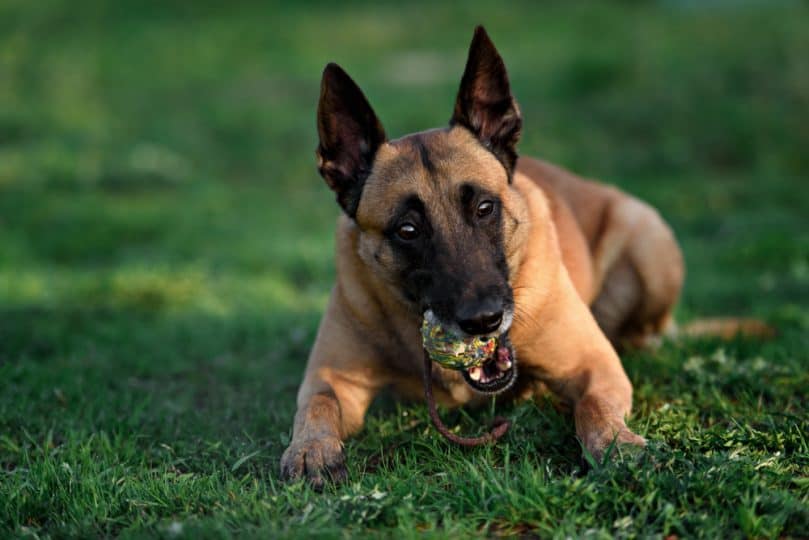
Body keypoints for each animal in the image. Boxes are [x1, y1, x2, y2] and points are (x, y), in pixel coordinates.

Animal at [278, 26, 680, 490]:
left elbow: (594, 406)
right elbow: (318, 405)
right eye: (407, 230)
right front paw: (310, 450)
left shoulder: (593, 364)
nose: (484, 319)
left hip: (648, 238)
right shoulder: (332, 378)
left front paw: (618, 444)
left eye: (484, 208)